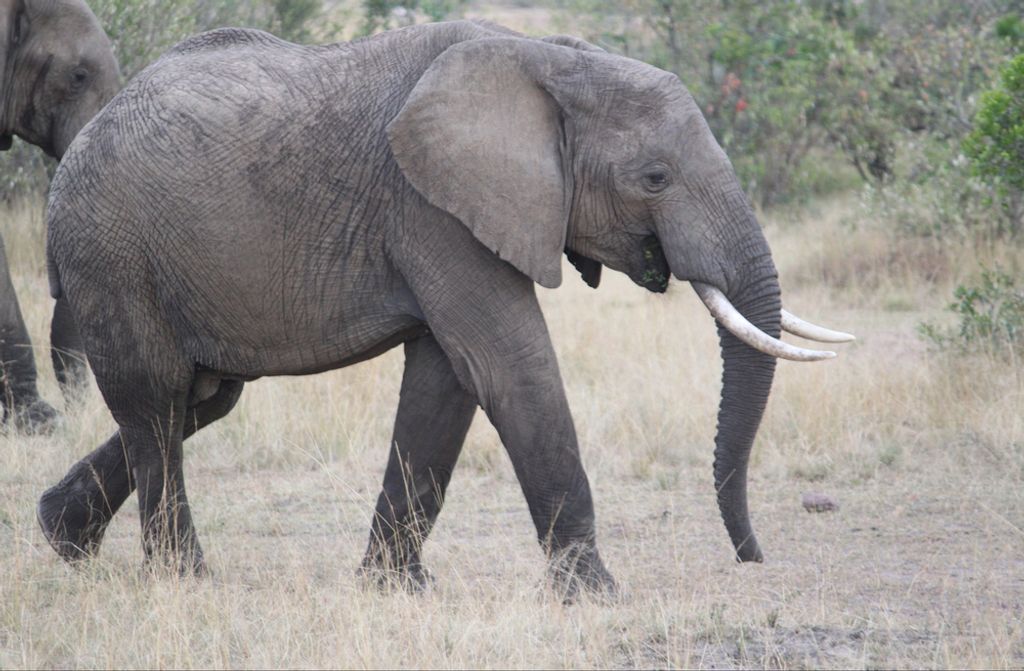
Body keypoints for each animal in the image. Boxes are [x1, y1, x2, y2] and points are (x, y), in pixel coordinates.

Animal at [36, 20, 853, 596]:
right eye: (655, 177)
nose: (752, 557)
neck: (550, 60)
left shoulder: (446, 214)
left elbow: (446, 384)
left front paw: (395, 590)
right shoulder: (430, 207)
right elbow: (509, 362)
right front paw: (596, 596)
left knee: (200, 399)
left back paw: (60, 540)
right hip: (109, 251)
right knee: (156, 401)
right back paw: (184, 580)